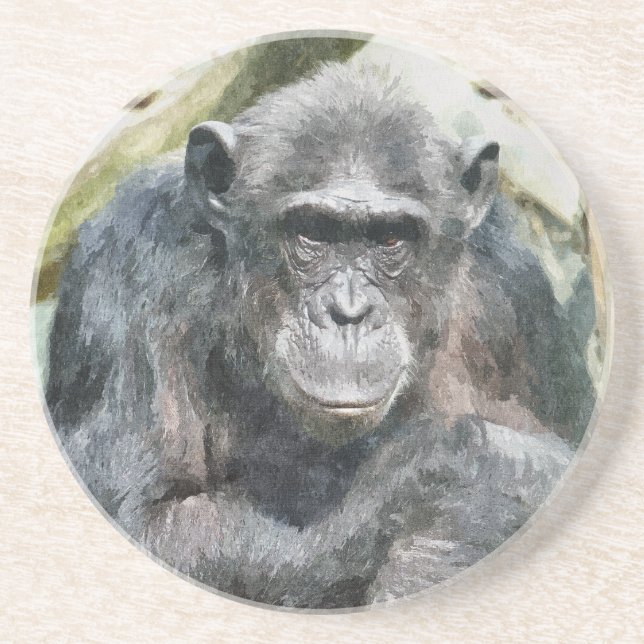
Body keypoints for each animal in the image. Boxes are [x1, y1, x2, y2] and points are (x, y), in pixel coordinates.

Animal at [44, 61, 596, 608]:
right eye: (311, 232)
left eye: (390, 238)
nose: (348, 312)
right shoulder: (131, 270)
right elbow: (151, 516)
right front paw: (455, 471)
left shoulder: (516, 294)